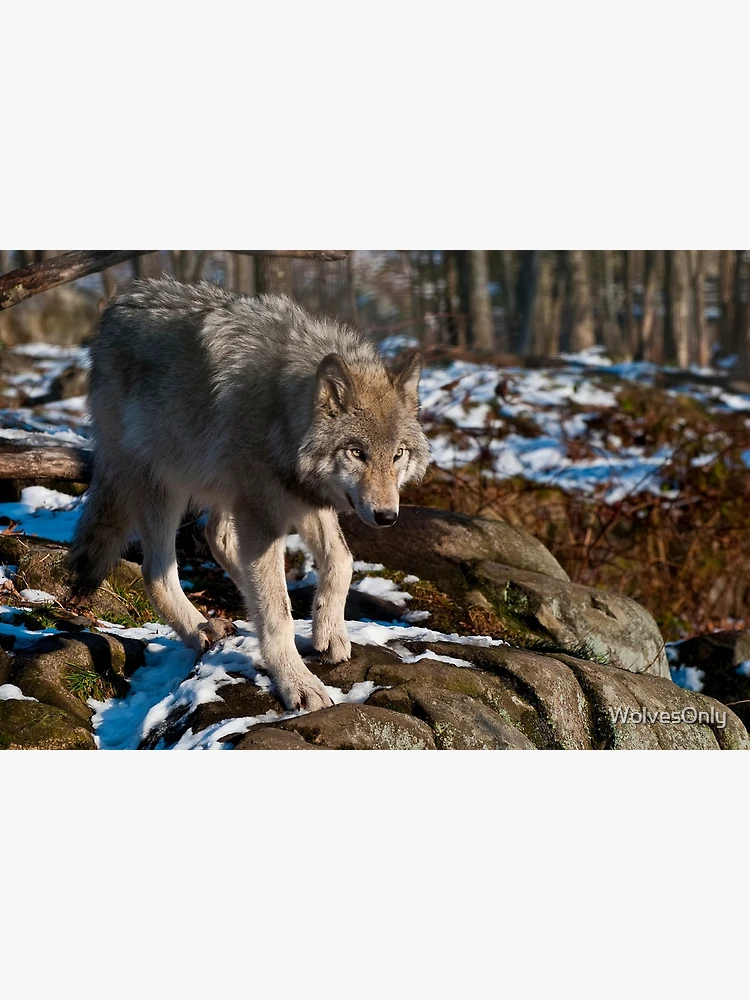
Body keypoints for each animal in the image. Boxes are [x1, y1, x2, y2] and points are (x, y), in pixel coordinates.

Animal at [69, 278, 430, 712]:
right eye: (357, 452)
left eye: (398, 454)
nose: (387, 516)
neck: (281, 412)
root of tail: (117, 306)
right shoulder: (265, 511)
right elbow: (277, 614)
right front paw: (296, 682)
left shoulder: (302, 497)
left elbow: (341, 560)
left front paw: (329, 632)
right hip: (165, 485)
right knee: (156, 571)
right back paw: (200, 629)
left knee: (218, 538)